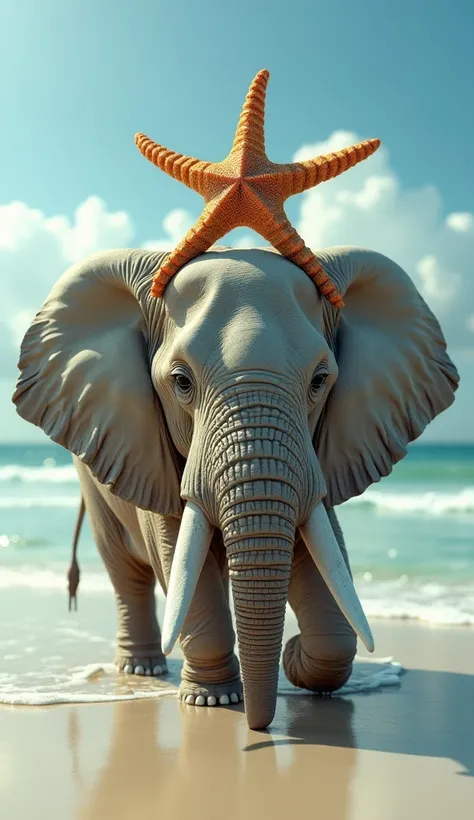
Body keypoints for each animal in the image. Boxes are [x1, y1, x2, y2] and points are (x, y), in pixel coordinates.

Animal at [12, 245, 460, 732]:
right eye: (181, 381)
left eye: (320, 381)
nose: (260, 727)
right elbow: (176, 553)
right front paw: (214, 700)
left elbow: (318, 555)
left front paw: (293, 662)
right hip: (93, 482)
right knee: (124, 568)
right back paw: (142, 669)